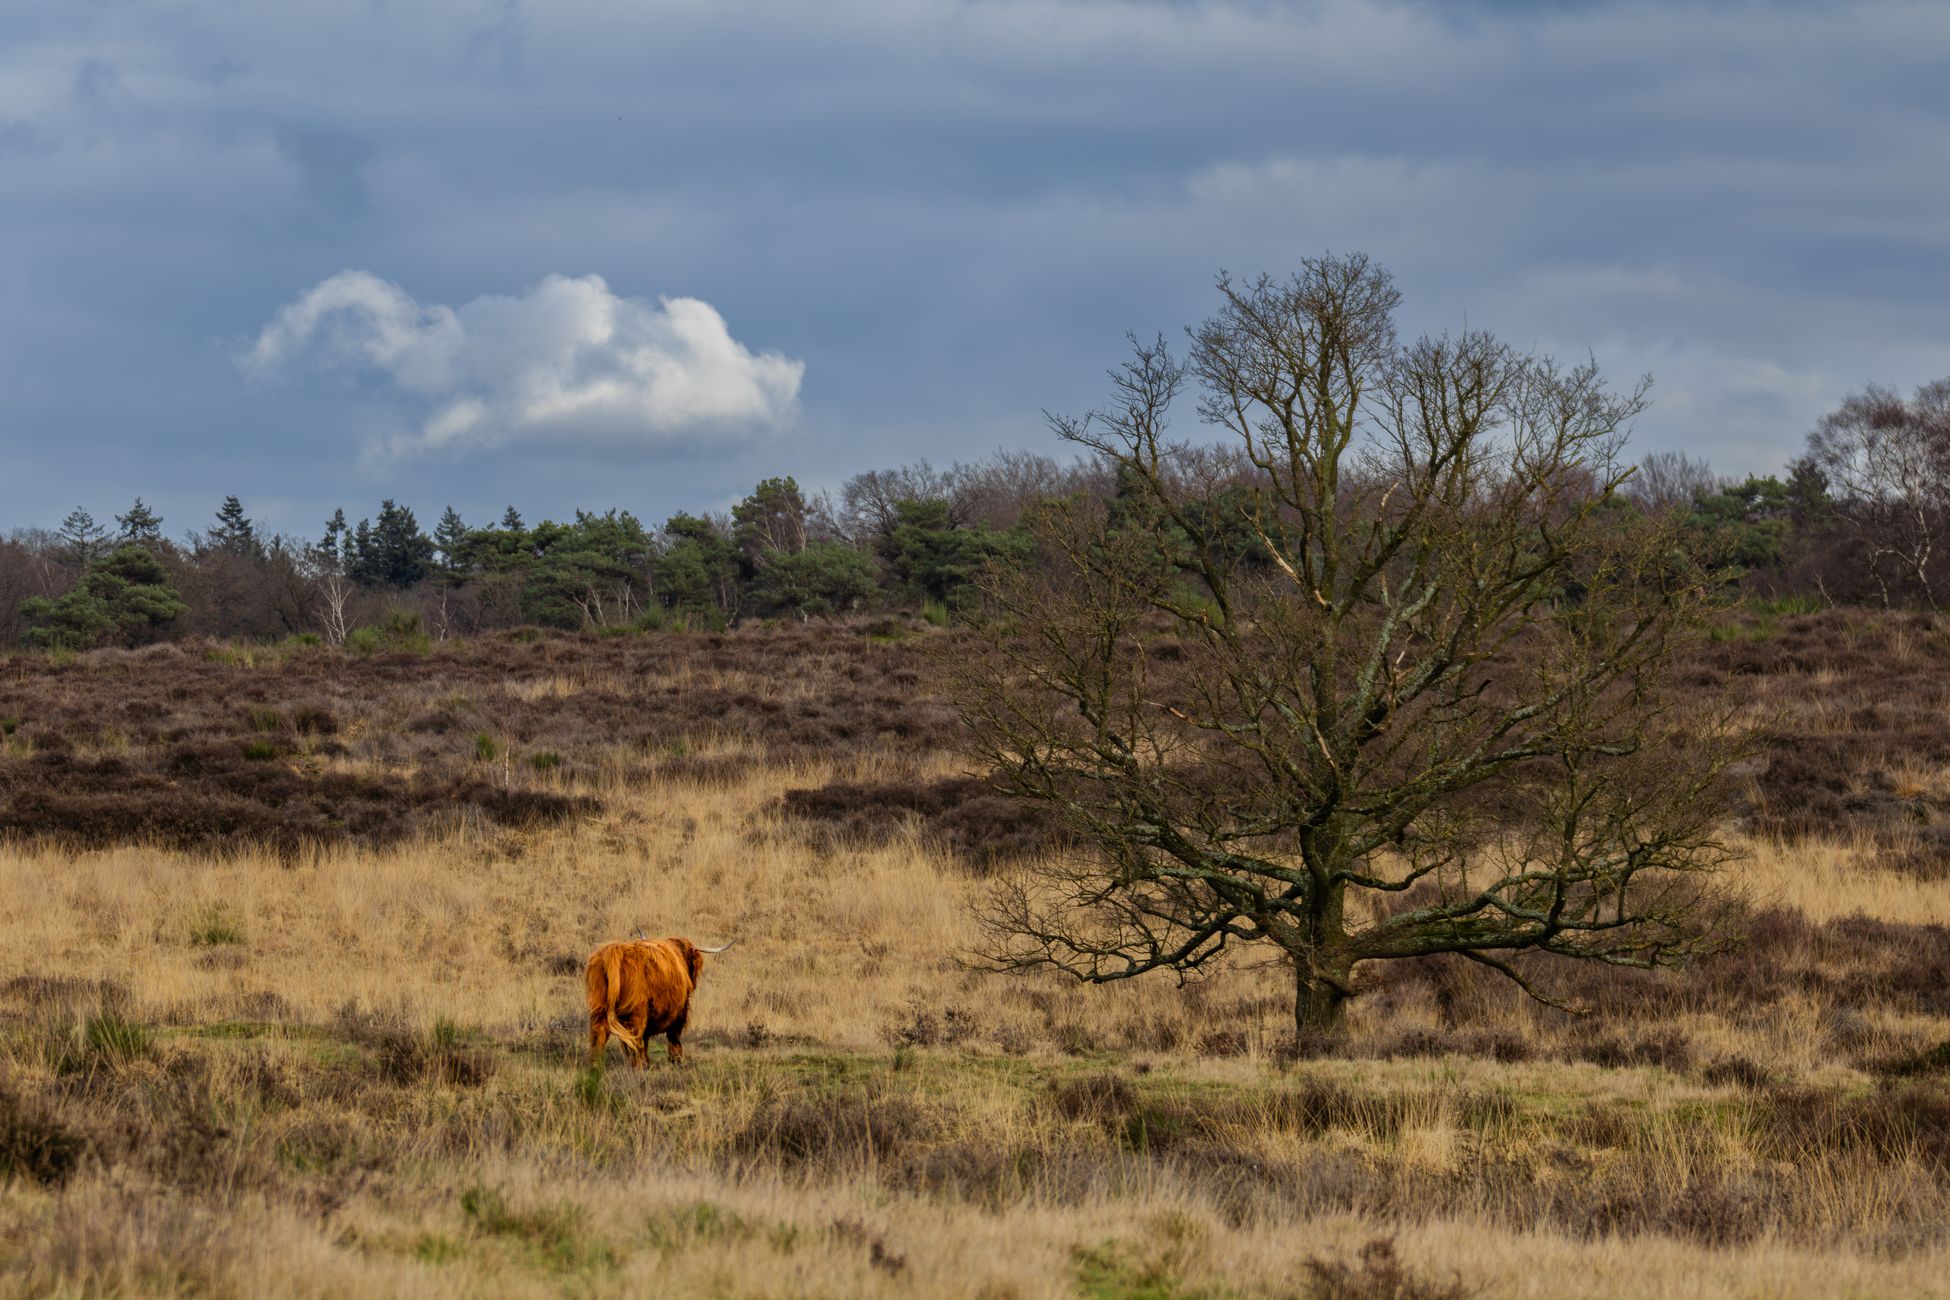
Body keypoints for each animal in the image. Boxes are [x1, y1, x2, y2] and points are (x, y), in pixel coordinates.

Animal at [584, 935, 733, 1067]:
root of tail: (614, 951)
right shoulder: (680, 1011)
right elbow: (674, 1036)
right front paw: (676, 1060)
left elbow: (647, 1039)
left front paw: (649, 1061)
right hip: (637, 1012)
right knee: (635, 1038)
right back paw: (638, 1067)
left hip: (599, 1008)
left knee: (599, 1036)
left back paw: (596, 1067)